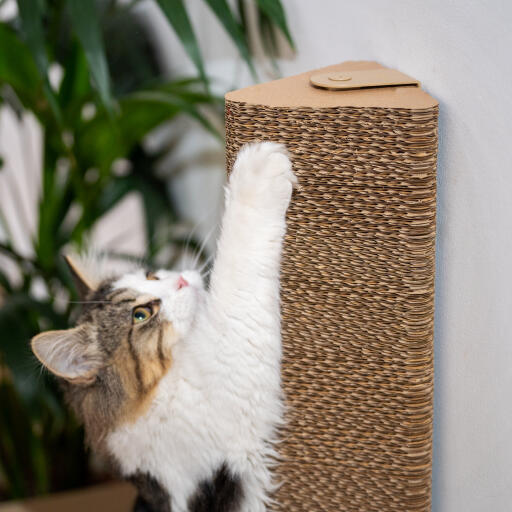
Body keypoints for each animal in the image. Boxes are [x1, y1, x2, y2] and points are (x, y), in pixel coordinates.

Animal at [31, 143, 296, 512]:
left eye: (152, 276)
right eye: (141, 315)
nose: (182, 281)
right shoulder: (232, 365)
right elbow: (235, 266)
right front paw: (258, 166)